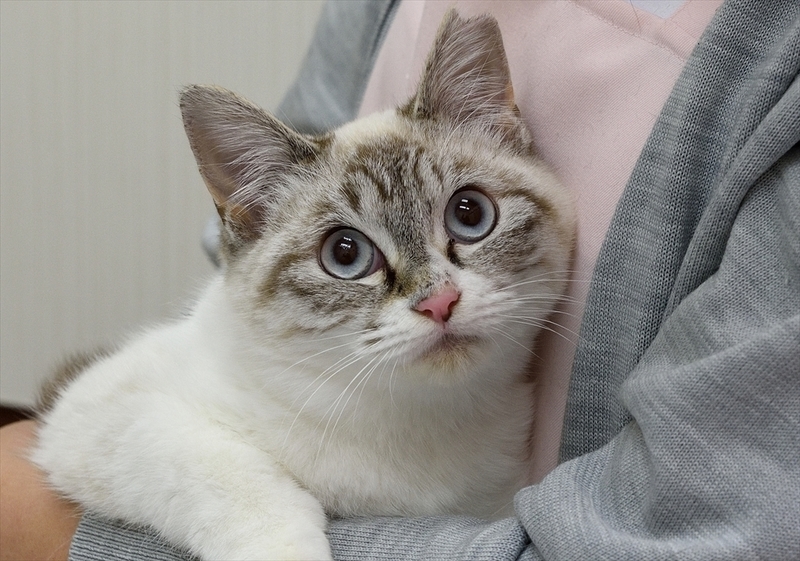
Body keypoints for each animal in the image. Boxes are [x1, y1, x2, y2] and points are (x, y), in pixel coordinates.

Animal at [33, 9, 575, 561]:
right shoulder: (95, 414)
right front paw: (283, 546)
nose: (440, 302)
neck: (419, 424)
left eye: (470, 215)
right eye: (346, 253)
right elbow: (224, 471)